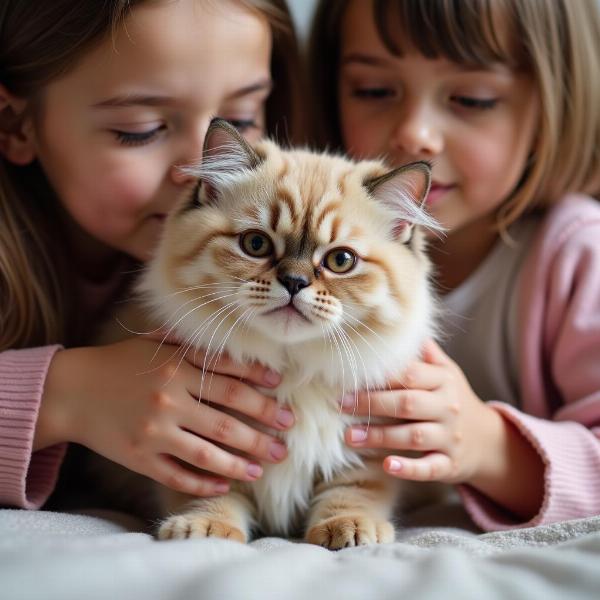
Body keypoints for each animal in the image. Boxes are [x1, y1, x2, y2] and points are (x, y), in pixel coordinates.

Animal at [102, 117, 440, 548]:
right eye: (256, 244)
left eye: (341, 261)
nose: (294, 282)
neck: (293, 370)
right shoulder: (199, 443)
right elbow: (212, 490)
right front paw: (204, 529)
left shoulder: (367, 446)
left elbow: (352, 493)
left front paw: (349, 528)